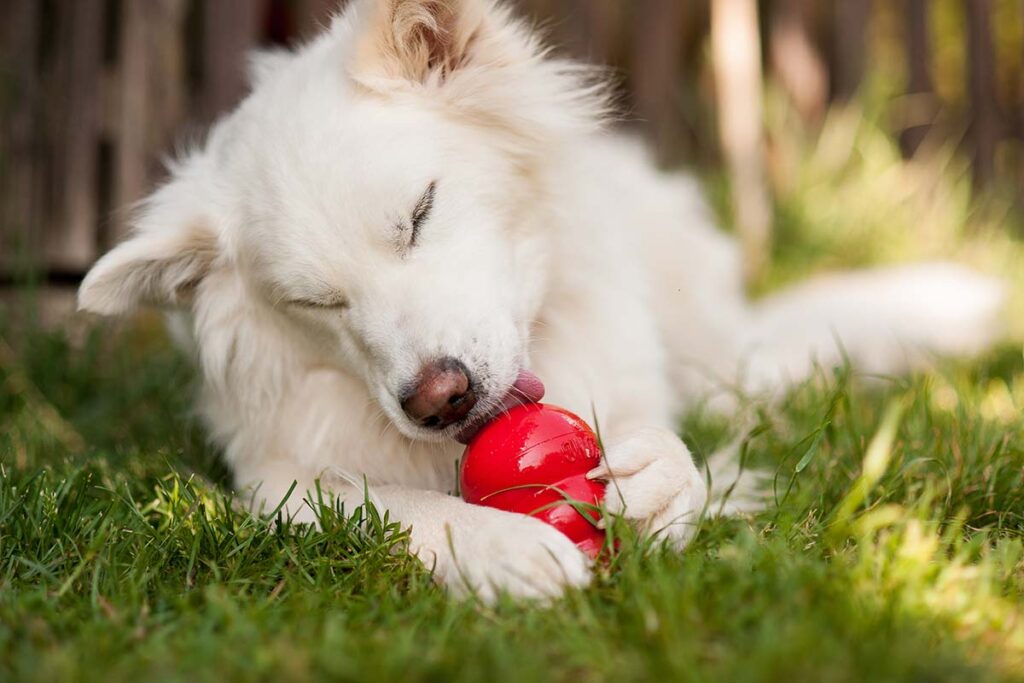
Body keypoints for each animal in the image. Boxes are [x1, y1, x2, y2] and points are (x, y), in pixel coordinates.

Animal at [75, 0, 1003, 598]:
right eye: (318, 303)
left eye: (421, 212)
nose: (438, 399)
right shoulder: (275, 484)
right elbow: (389, 506)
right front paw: (499, 547)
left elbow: (680, 458)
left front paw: (656, 484)